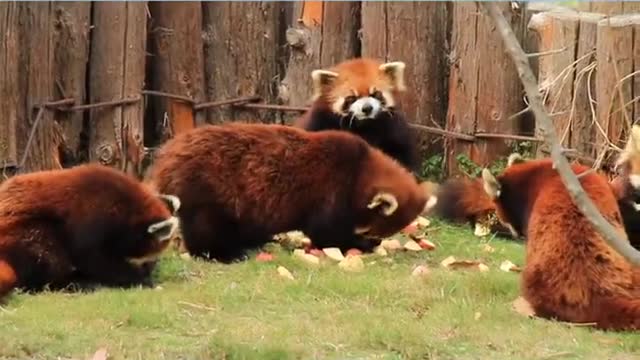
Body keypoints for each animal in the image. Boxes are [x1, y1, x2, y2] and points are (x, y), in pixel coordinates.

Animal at [0, 163, 180, 298]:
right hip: (26, 230)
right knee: (47, 255)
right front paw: (140, 279)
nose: (149, 270)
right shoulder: (90, 218)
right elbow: (94, 259)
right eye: (146, 260)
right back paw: (75, 283)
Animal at [147, 123, 436, 262]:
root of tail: (168, 156)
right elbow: (326, 233)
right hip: (207, 189)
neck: (360, 169)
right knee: (206, 228)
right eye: (370, 232)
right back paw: (224, 254)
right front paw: (357, 245)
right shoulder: (330, 191)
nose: (374, 242)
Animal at [292, 57, 420, 173]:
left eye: (375, 94)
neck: (363, 125)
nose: (367, 108)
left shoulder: (393, 128)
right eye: (352, 98)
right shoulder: (319, 123)